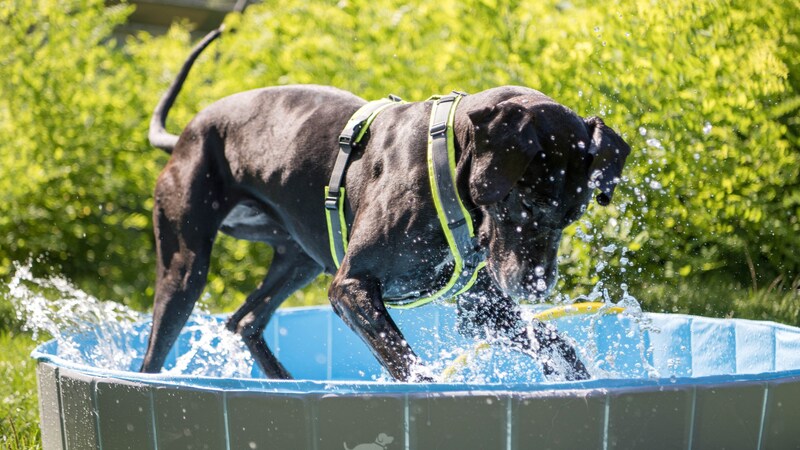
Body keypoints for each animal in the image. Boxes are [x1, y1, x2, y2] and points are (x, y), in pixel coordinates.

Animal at [142, 29, 632, 380]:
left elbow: (557, 344)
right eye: (526, 205)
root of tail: (183, 135)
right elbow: (409, 366)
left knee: (244, 321)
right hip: (186, 268)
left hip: (299, 258)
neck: (446, 158)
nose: (538, 288)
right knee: (154, 356)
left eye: (573, 216)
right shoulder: (351, 286)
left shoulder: (484, 312)